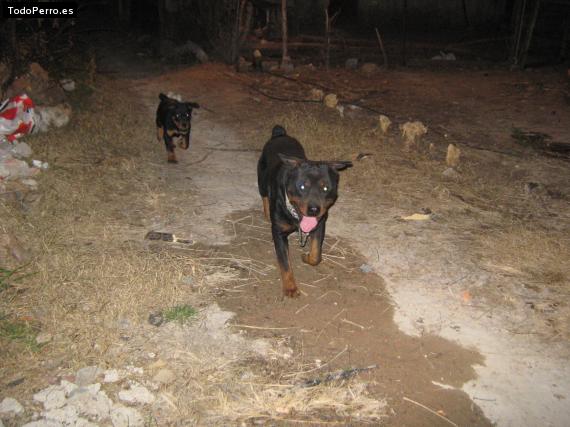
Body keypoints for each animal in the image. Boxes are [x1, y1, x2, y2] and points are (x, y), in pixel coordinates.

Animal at [257, 125, 352, 297]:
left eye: (325, 188)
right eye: (302, 186)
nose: (314, 209)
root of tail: (280, 134)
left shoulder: (320, 224)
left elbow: (316, 255)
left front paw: (307, 257)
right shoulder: (279, 233)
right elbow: (285, 264)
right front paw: (290, 287)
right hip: (261, 179)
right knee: (264, 196)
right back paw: (267, 212)